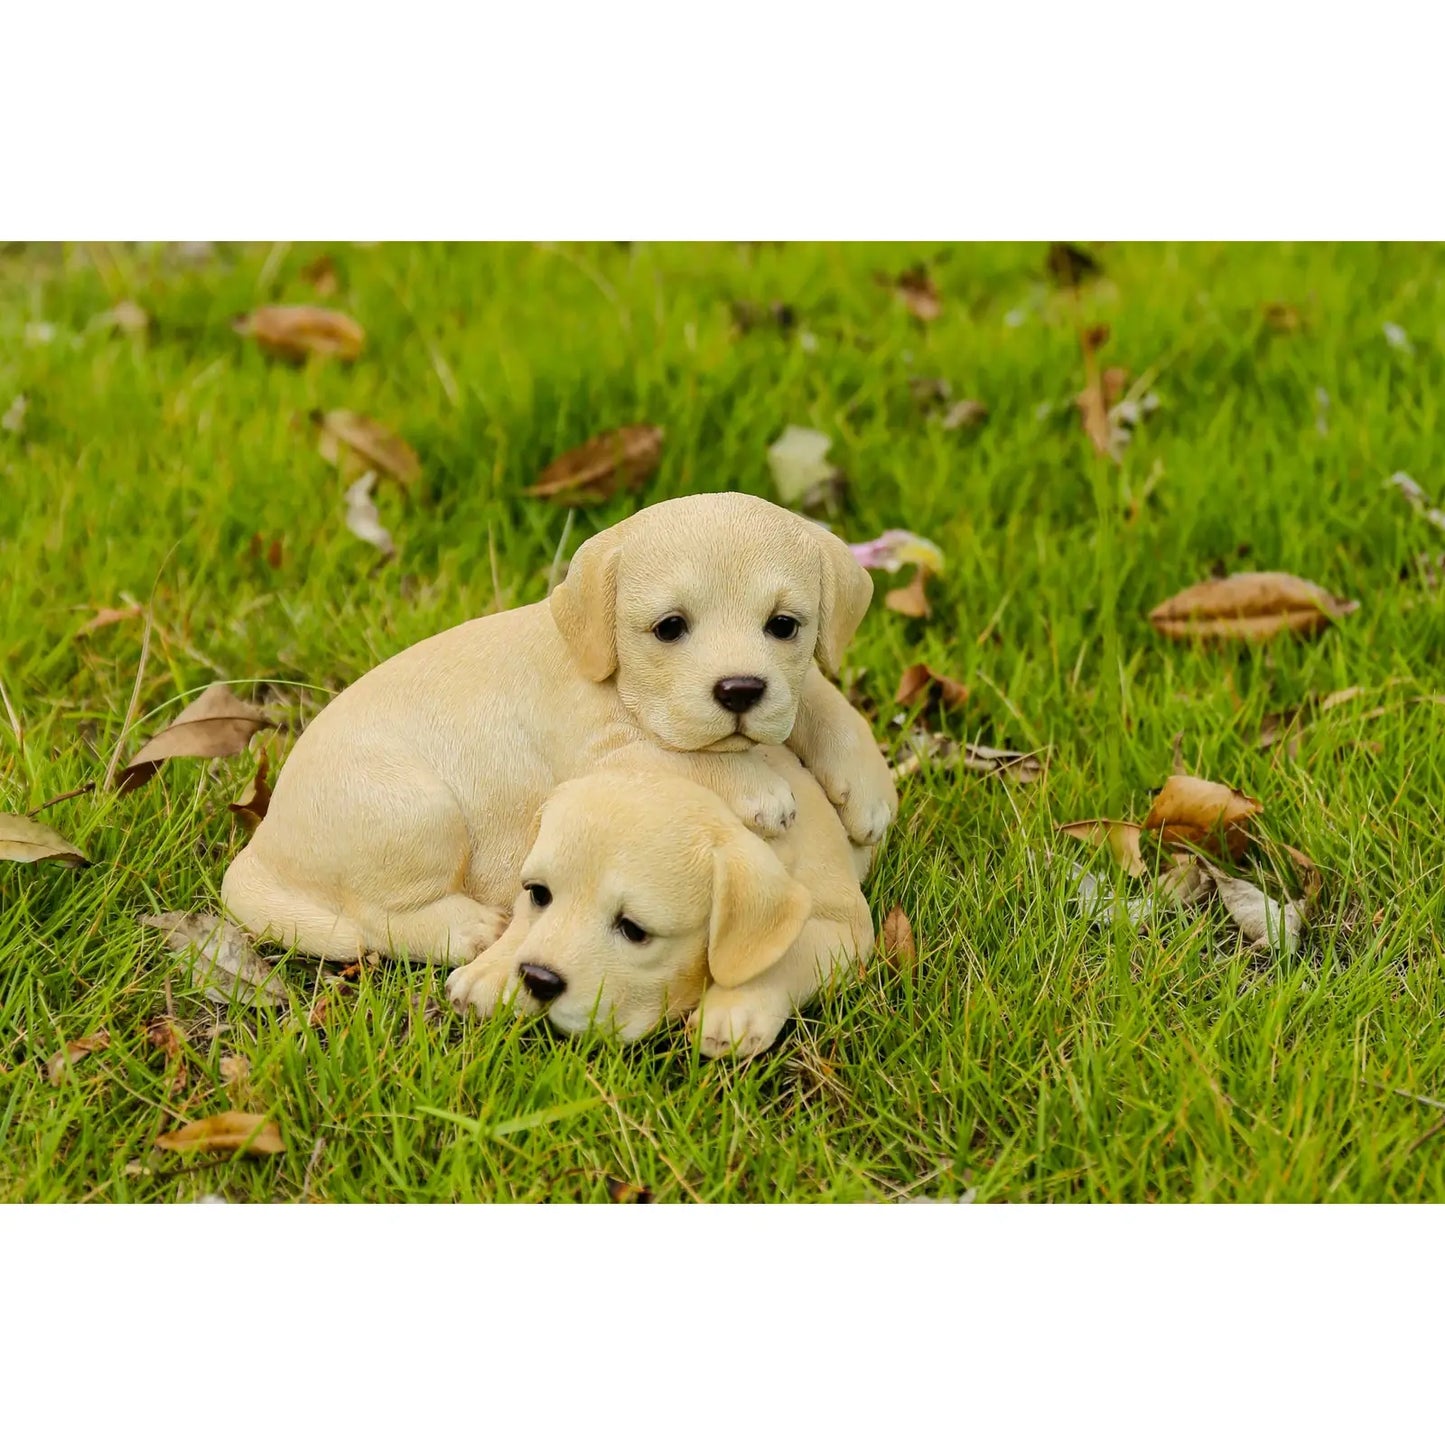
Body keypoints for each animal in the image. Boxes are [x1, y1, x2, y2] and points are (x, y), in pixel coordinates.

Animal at [221, 491, 895, 965]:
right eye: (670, 627)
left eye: (785, 625)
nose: (740, 690)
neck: (612, 677)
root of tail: (262, 847)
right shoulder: (605, 754)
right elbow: (683, 754)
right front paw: (759, 789)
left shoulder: (792, 684)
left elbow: (821, 695)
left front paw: (868, 786)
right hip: (419, 811)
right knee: (373, 916)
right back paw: (466, 928)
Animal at [445, 751, 872, 1057]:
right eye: (538, 893)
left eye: (634, 930)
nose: (537, 978)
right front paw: (489, 971)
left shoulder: (845, 923)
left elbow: (789, 950)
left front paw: (734, 1008)